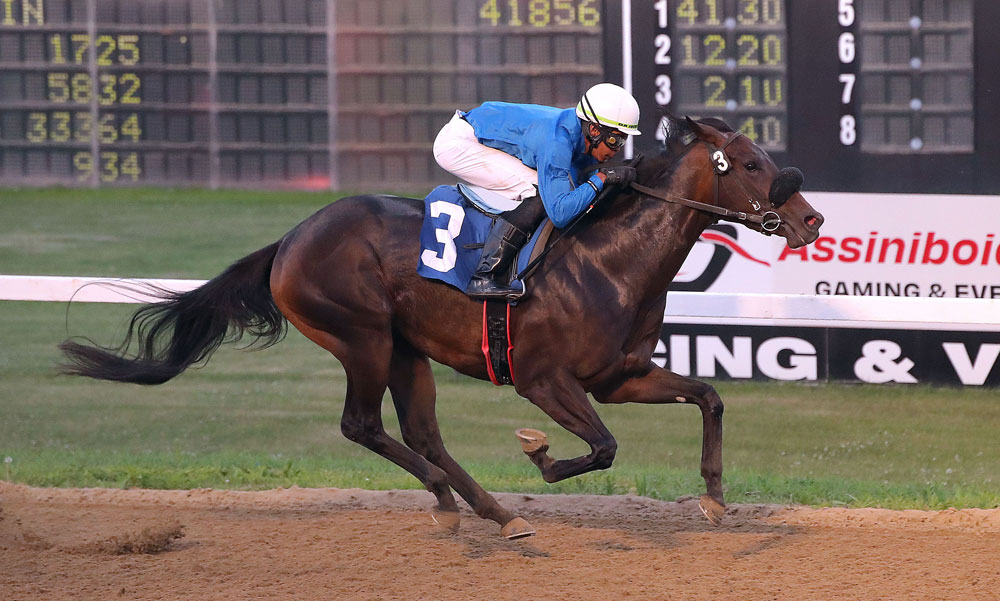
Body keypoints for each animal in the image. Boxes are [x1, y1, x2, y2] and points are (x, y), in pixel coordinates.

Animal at [60, 114, 825, 539]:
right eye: (749, 163)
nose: (812, 218)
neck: (610, 259)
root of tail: (290, 239)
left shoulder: (620, 375)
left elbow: (710, 397)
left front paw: (715, 500)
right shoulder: (544, 379)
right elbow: (603, 447)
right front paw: (542, 455)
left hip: (406, 348)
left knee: (421, 432)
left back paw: (487, 511)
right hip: (362, 337)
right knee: (365, 426)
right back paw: (463, 500)